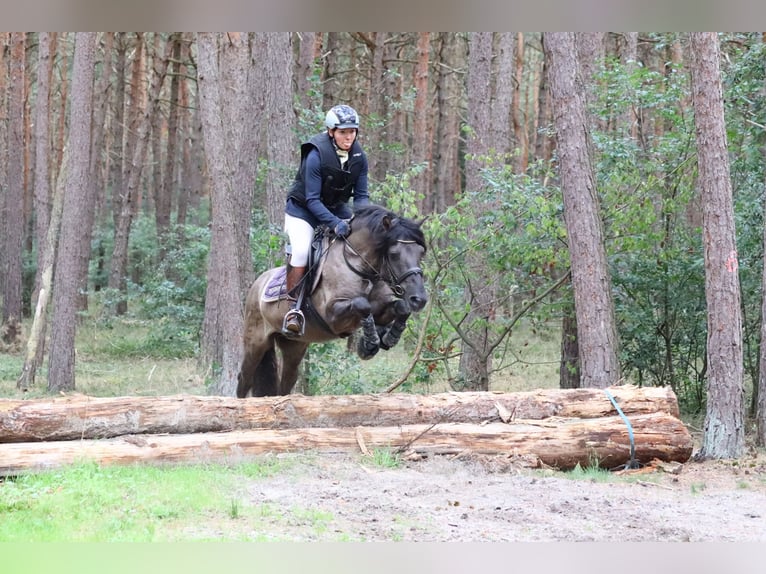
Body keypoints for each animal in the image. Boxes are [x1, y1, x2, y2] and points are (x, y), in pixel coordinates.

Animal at [236, 204, 428, 397]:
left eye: (421, 254)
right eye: (394, 254)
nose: (419, 299)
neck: (359, 266)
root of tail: (257, 283)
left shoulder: (381, 309)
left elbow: (401, 307)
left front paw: (390, 336)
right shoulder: (332, 315)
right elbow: (362, 304)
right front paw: (369, 343)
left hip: (294, 346)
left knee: (286, 382)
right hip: (255, 342)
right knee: (244, 379)